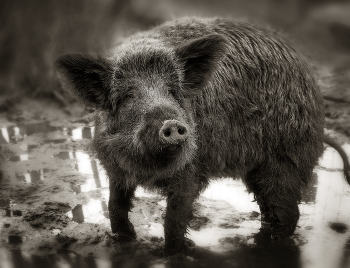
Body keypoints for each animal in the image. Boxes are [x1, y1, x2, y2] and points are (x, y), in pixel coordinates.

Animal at [54, 17, 350, 255]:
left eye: (172, 90)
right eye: (128, 95)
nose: (171, 123)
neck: (148, 170)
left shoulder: (191, 172)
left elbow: (173, 221)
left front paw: (173, 253)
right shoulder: (115, 169)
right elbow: (114, 206)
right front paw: (123, 241)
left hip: (284, 159)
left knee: (288, 213)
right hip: (259, 169)